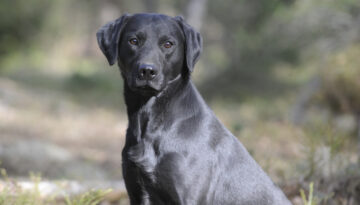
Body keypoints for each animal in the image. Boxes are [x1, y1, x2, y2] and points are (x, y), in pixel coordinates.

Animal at [97, 13, 292, 205]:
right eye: (133, 41)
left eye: (168, 44)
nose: (147, 71)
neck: (151, 121)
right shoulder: (138, 192)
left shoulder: (189, 196)